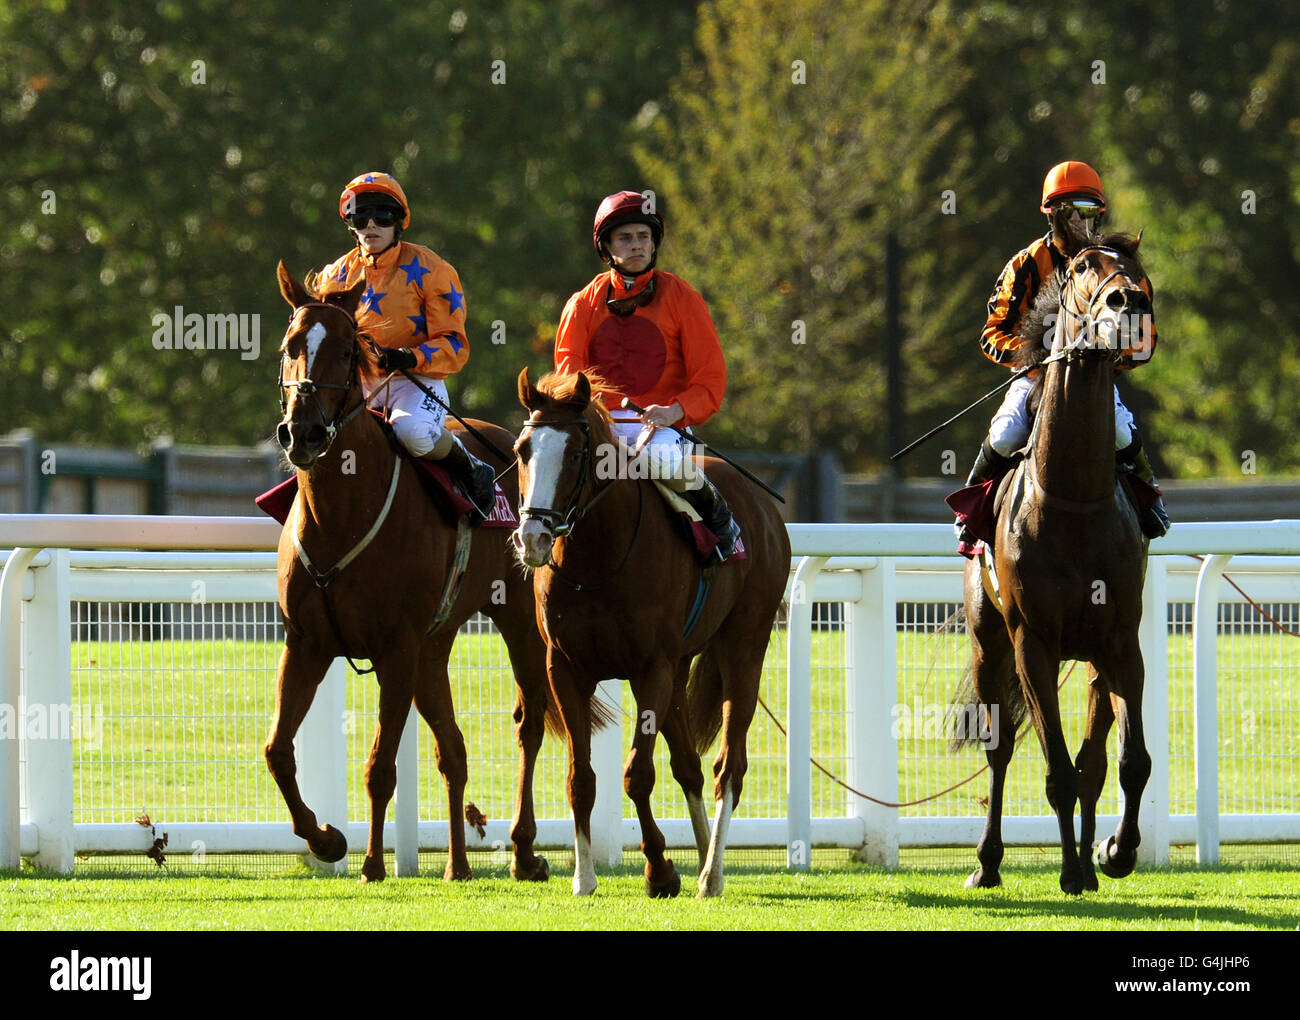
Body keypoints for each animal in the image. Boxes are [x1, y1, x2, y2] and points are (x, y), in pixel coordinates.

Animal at [269, 261, 559, 883]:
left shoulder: (395, 649)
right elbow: (278, 751)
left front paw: (372, 863)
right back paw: (457, 864)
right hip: (435, 647)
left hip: (519, 624)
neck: (341, 515)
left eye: (347, 349)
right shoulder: (306, 643)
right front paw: (326, 838)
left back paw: (524, 850)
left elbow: (380, 765)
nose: (302, 433)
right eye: (289, 347)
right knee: (454, 749)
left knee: (529, 723)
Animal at [512, 369, 785, 893]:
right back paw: (702, 854)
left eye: (575, 454)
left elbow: (637, 773)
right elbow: (582, 777)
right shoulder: (566, 669)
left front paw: (659, 868)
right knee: (689, 765)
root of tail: (763, 505)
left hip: (744, 645)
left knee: (729, 765)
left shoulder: (649, 669)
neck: (597, 560)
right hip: (681, 667)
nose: (533, 538)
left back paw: (711, 874)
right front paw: (584, 876)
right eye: (522, 450)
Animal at [951, 236, 1154, 893]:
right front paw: (1067, 868)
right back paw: (988, 862)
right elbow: (1055, 769)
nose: (1128, 301)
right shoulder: (1031, 641)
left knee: (1095, 758)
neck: (1073, 501)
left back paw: (1091, 858)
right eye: (1083, 267)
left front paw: (1114, 852)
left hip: (1090, 660)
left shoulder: (1119, 641)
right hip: (988, 643)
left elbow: (1129, 762)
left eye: (1136, 270)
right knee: (1000, 749)